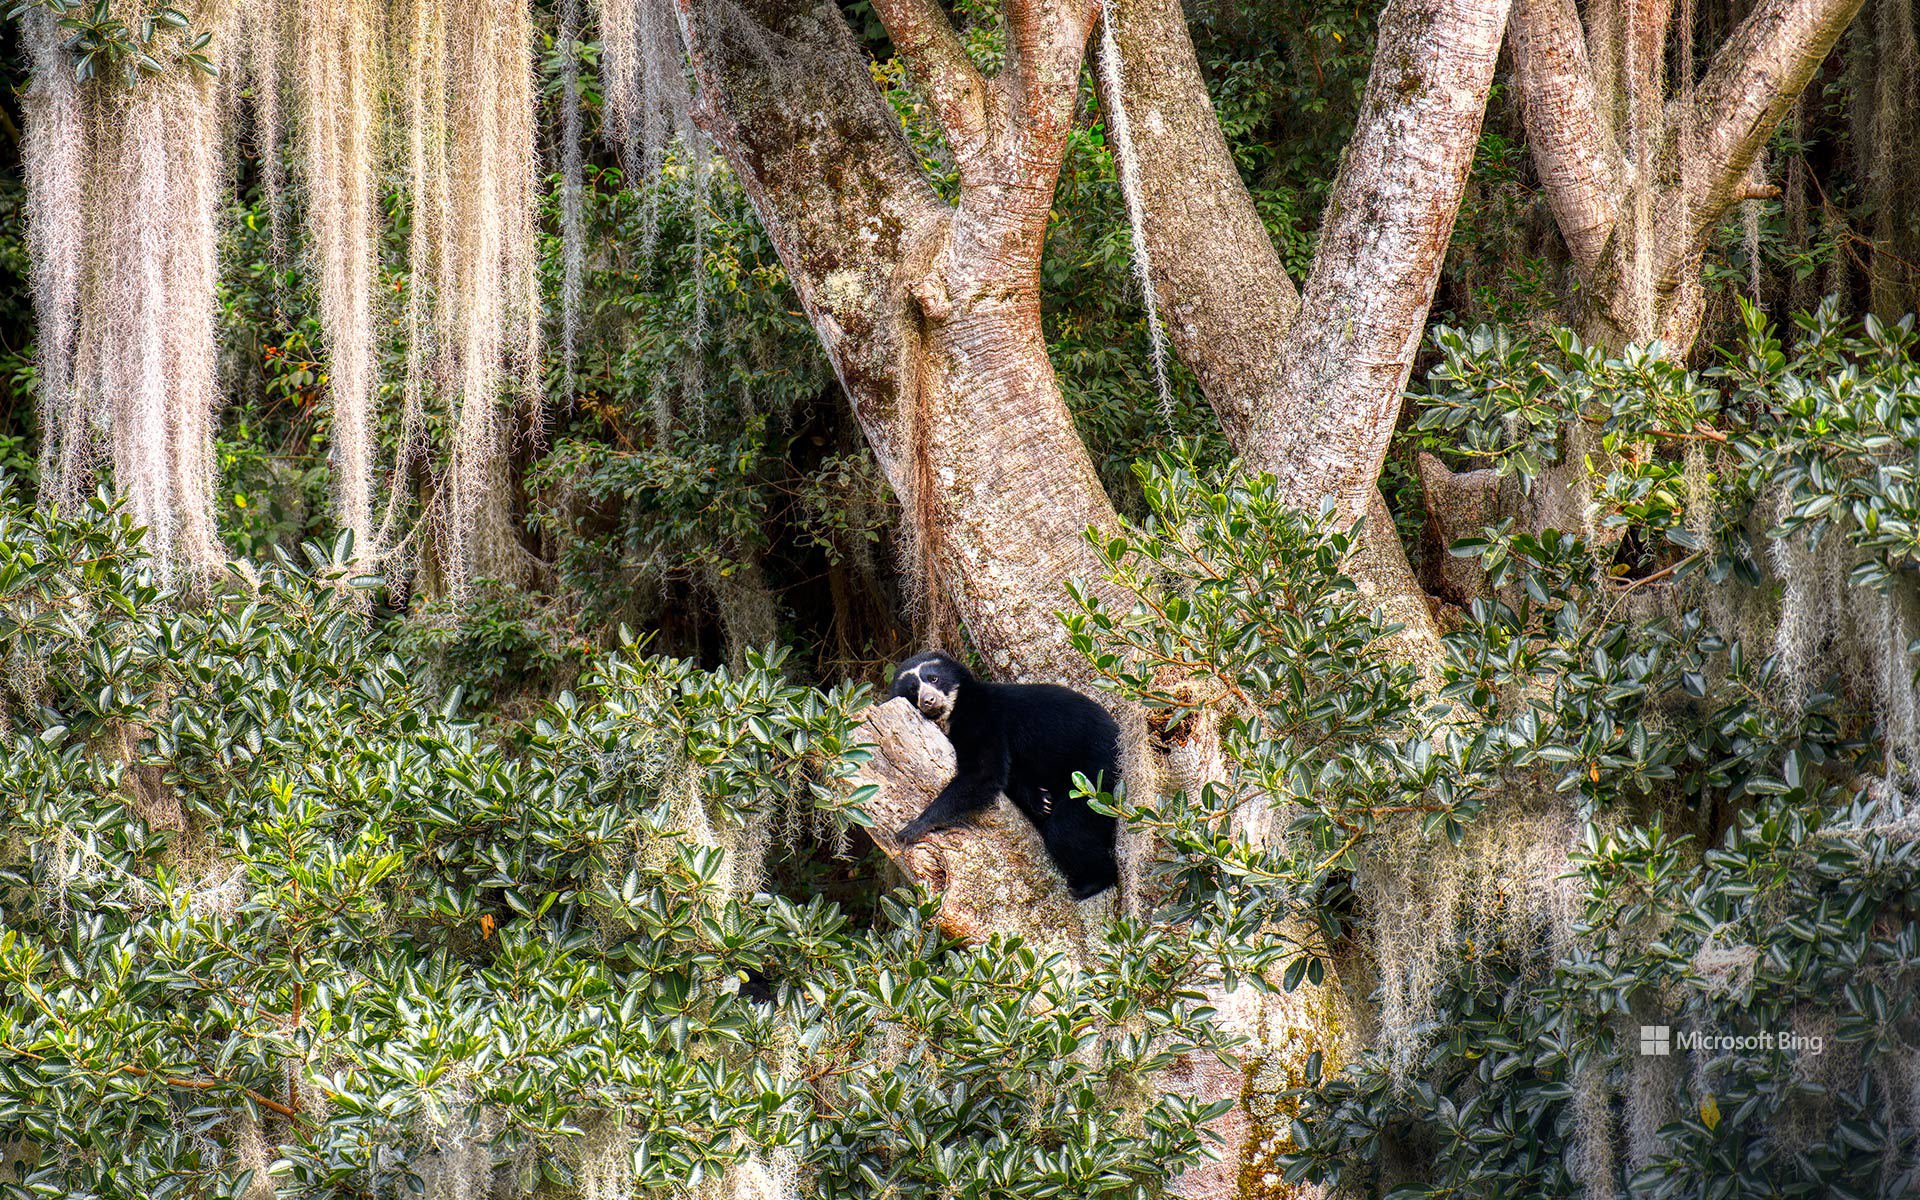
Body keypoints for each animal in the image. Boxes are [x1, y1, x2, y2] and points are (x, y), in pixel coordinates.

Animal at [888, 650, 1120, 899]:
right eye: (912, 689)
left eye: (933, 678)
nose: (928, 701)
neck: (955, 711)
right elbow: (1009, 776)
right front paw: (1041, 800)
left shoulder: (983, 721)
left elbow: (983, 773)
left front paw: (911, 829)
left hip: (1096, 773)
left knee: (1066, 829)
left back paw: (1090, 883)